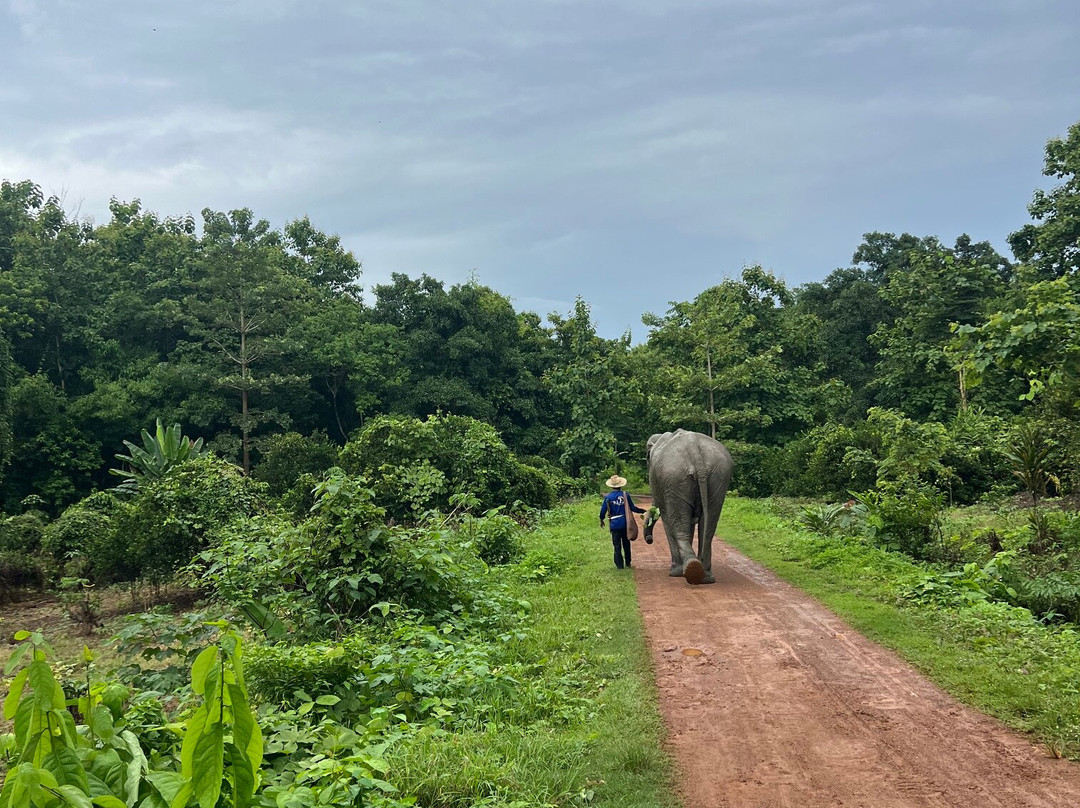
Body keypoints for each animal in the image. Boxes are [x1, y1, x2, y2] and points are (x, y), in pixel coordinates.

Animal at [645, 429, 733, 585]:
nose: (649, 540)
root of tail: (694, 450)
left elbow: (667, 518)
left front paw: (675, 572)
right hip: (718, 477)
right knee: (708, 527)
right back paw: (704, 576)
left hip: (674, 478)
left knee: (678, 524)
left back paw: (686, 570)